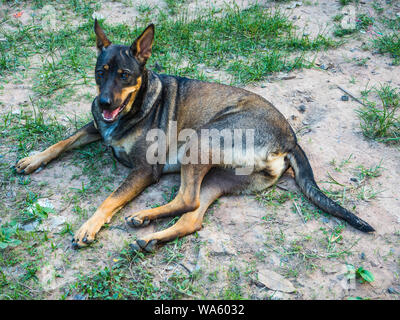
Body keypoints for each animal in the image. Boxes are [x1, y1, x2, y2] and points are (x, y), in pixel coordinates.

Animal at [14, 21, 372, 252]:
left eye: (125, 75)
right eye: (100, 73)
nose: (104, 103)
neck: (136, 103)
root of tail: (290, 140)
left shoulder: (144, 170)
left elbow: (110, 198)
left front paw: (89, 226)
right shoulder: (95, 126)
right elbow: (64, 140)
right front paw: (33, 159)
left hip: (200, 140)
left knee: (188, 199)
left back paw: (143, 217)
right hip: (219, 177)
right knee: (193, 215)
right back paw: (151, 235)